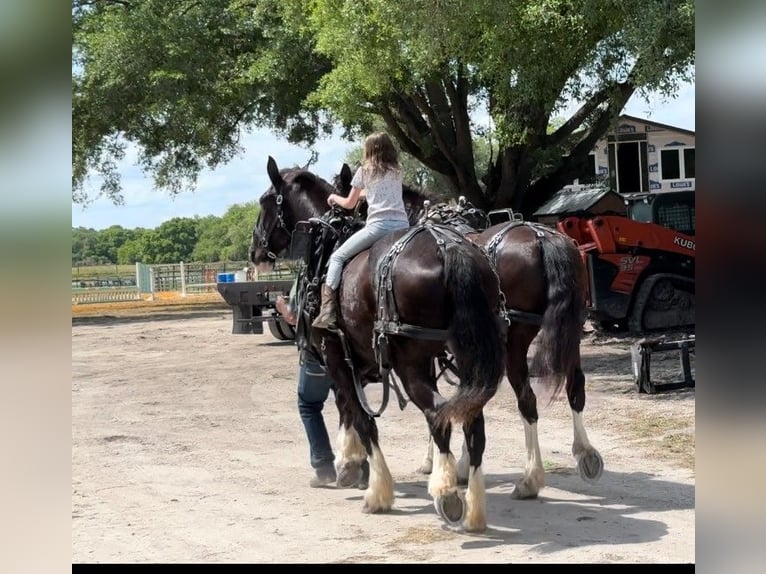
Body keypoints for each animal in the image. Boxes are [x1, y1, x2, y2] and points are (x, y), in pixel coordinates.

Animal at [249, 155, 508, 532]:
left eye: (265, 201)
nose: (254, 250)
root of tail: (449, 248)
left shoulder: (335, 355)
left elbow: (359, 417)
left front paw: (373, 487)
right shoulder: (358, 361)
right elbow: (348, 410)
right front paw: (352, 466)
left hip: (411, 365)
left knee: (438, 414)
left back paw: (446, 492)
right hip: (463, 356)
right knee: (473, 422)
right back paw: (474, 508)